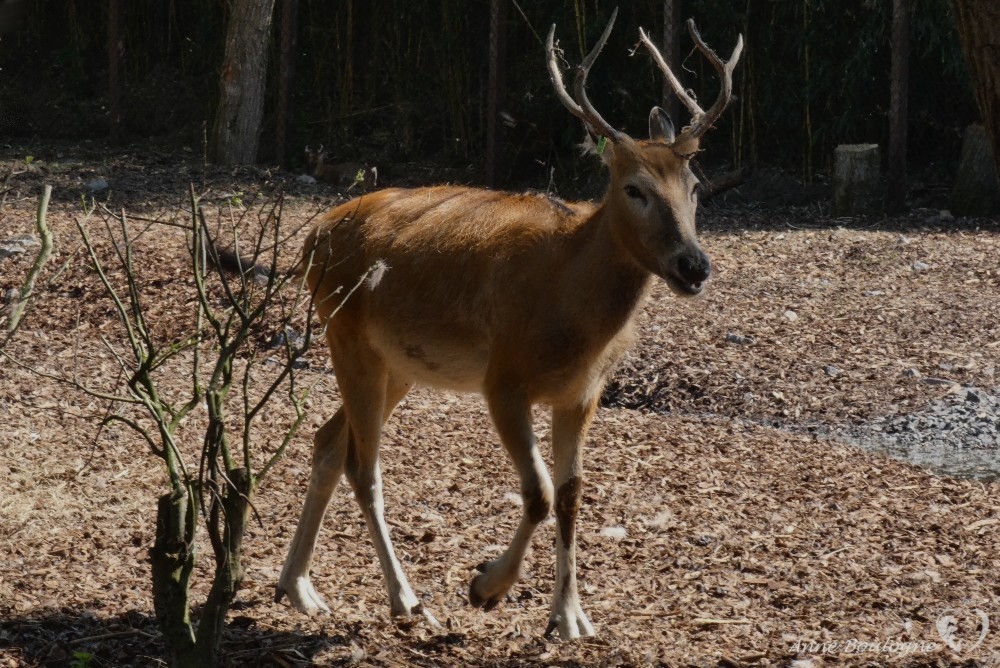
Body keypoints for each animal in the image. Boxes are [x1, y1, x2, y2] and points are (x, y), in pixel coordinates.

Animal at [276, 9, 744, 636]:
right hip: (344, 334)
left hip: (394, 365)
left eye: (695, 187)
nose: (694, 265)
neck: (567, 301)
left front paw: (570, 618)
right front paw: (486, 587)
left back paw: (299, 587)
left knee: (327, 442)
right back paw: (405, 599)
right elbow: (539, 493)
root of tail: (313, 238)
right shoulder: (503, 379)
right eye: (635, 188)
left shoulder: (584, 393)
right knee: (362, 465)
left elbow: (571, 495)